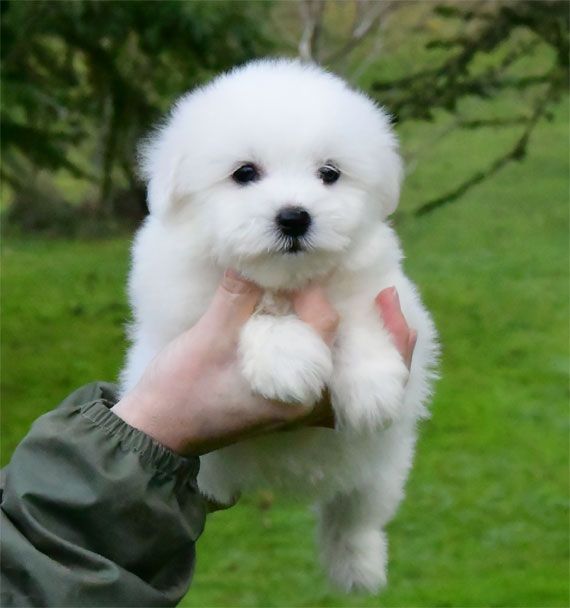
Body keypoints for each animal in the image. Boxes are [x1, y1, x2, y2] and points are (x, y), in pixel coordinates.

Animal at [122, 59, 438, 592]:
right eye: (244, 173)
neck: (285, 281)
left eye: (329, 173)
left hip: (382, 466)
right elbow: (259, 318)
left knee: (354, 516)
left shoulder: (381, 288)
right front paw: (288, 361)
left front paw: (371, 385)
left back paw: (359, 567)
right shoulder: (187, 312)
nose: (294, 217)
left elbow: (359, 317)